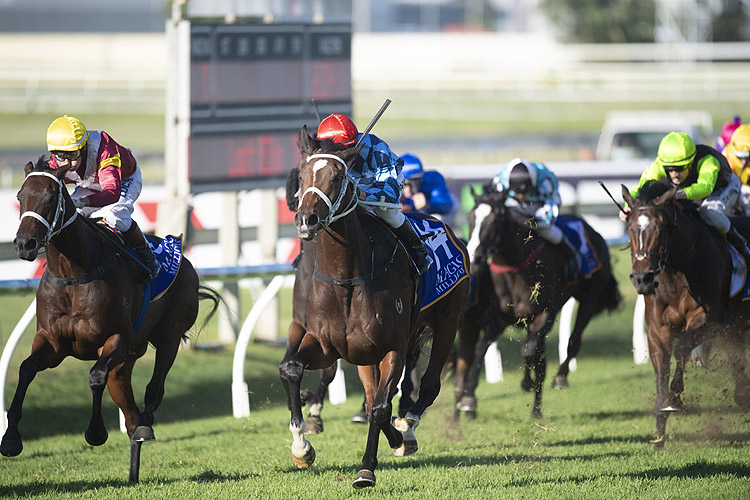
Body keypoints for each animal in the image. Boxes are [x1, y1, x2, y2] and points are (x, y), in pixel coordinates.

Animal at [2, 158, 220, 482]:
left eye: (52, 198)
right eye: (20, 196)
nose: (24, 244)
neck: (72, 272)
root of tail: (184, 257)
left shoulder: (115, 340)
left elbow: (95, 377)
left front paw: (95, 432)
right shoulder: (52, 343)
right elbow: (26, 369)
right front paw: (11, 439)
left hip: (168, 337)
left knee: (153, 391)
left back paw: (145, 425)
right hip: (126, 361)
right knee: (128, 411)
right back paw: (133, 468)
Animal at [280, 126, 472, 488]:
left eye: (338, 175)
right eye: (302, 173)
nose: (307, 219)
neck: (345, 279)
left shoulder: (391, 346)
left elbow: (382, 408)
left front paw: (370, 465)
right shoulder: (325, 343)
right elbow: (293, 368)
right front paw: (301, 447)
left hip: (448, 321)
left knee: (428, 385)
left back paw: (407, 430)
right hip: (367, 353)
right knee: (376, 396)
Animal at [470, 187, 624, 418]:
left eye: (494, 220)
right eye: (471, 218)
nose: (475, 257)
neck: (516, 267)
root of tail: (593, 231)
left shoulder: (543, 315)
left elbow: (528, 352)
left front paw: (527, 383)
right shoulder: (499, 318)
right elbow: (481, 348)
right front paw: (467, 398)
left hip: (589, 297)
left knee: (573, 340)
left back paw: (558, 380)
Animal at [624, 181, 750, 446]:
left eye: (660, 230)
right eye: (629, 228)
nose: (641, 279)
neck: (675, 272)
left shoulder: (709, 320)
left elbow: (682, 348)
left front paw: (674, 399)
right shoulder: (657, 329)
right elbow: (661, 366)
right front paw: (660, 426)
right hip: (734, 328)